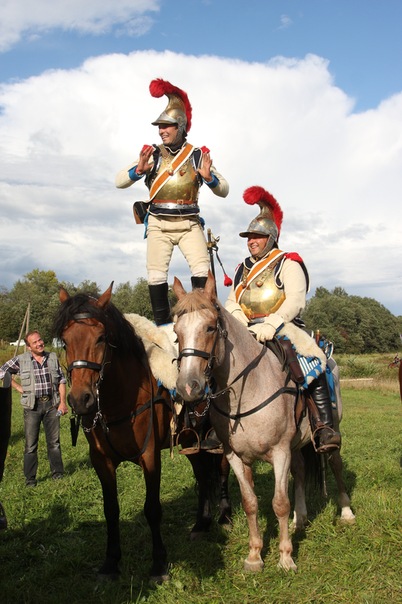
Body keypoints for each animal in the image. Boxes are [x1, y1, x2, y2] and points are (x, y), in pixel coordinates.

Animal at [53, 286, 231, 584]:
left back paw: (225, 516)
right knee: (203, 476)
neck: (120, 399)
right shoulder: (101, 462)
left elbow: (152, 509)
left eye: (101, 338)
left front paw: (158, 564)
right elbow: (110, 510)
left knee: (222, 471)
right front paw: (111, 562)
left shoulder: (149, 456)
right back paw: (201, 523)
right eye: (65, 342)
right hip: (190, 440)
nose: (80, 400)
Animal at [173, 276, 354, 572]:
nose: (189, 387)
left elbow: (279, 503)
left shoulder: (279, 452)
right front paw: (255, 555)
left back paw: (347, 511)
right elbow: (250, 503)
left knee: (335, 464)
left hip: (333, 431)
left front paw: (285, 557)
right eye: (177, 333)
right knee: (300, 471)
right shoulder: (235, 457)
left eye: (210, 327)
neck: (248, 390)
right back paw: (300, 518)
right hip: (296, 444)